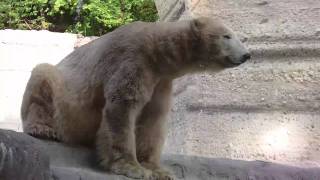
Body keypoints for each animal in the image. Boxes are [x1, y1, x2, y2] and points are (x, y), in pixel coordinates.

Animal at [20, 16, 250, 179]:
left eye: (234, 35)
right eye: (227, 36)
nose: (246, 55)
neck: (158, 51)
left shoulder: (161, 81)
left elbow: (153, 118)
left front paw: (158, 170)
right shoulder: (133, 60)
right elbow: (123, 106)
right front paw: (132, 167)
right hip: (66, 103)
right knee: (42, 77)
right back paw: (42, 128)